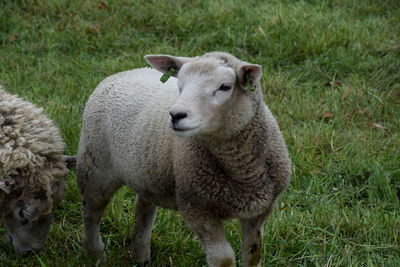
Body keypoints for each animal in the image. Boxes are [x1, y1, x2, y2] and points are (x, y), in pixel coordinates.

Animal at [77, 51, 290, 266]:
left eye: (225, 86)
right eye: (180, 84)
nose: (175, 115)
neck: (243, 171)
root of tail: (121, 73)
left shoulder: (260, 211)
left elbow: (253, 254)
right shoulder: (196, 208)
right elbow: (224, 258)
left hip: (148, 171)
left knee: (144, 208)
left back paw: (140, 255)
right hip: (95, 166)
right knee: (91, 213)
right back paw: (96, 255)